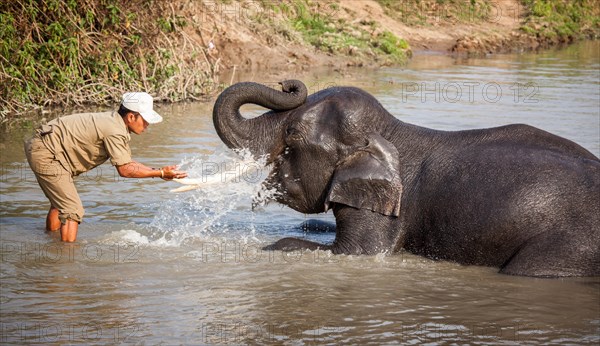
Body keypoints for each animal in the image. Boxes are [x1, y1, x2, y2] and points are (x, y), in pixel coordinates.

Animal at [212, 79, 600, 278]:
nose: (288, 84)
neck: (393, 129)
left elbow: (361, 252)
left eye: (291, 135)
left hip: (567, 248)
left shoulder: (389, 203)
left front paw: (270, 247)